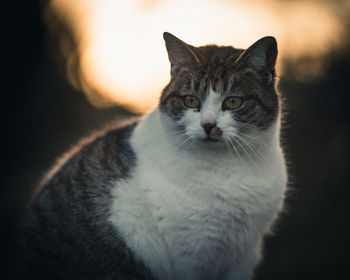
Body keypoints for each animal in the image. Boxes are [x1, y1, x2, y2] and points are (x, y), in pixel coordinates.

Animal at [17, 32, 288, 280]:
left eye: (232, 102)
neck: (231, 166)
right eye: (191, 100)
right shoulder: (190, 254)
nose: (208, 125)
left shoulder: (243, 254)